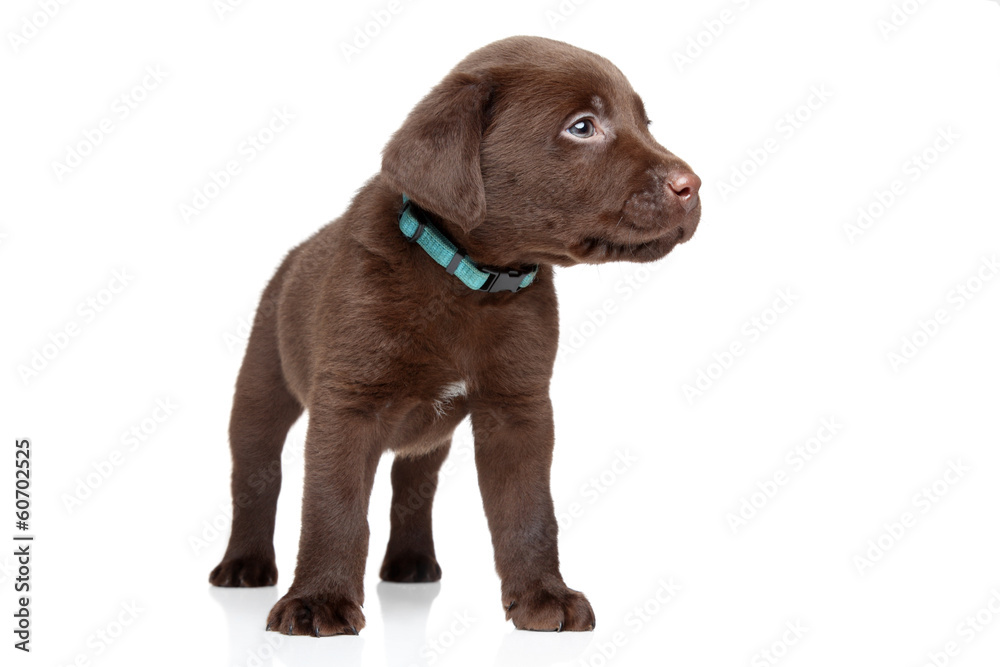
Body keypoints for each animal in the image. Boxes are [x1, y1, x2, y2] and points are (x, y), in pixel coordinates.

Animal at [207, 35, 700, 636]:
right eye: (582, 127)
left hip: (428, 435)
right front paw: (318, 601)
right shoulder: (348, 405)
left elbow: (528, 512)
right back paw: (243, 564)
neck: (467, 280)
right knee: (256, 476)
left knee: (411, 488)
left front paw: (543, 595)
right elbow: (333, 508)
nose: (692, 185)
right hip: (261, 387)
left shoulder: (519, 410)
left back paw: (411, 563)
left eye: (645, 122)